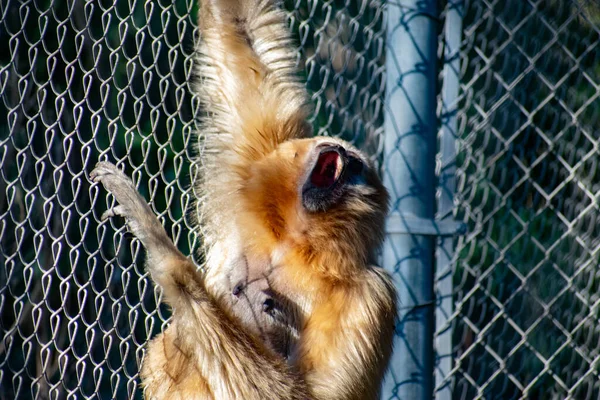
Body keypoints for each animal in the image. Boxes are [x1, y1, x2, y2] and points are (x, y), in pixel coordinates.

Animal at [90, 0, 398, 398]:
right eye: (334, 149)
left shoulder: (371, 293)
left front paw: (164, 254)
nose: (344, 155)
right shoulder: (257, 163)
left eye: (358, 166)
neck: (294, 243)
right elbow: (240, 34)